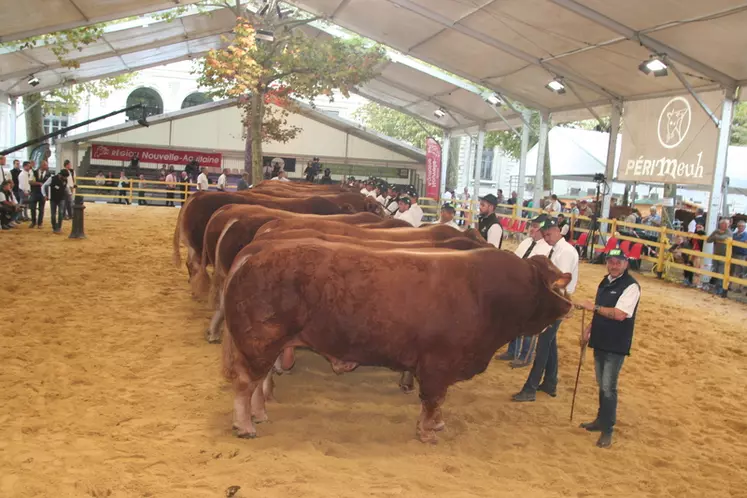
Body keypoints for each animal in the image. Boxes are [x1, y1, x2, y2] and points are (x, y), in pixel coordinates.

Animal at [222, 241, 572, 444]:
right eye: (555, 280)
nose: (569, 304)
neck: (486, 295)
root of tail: (254, 256)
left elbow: (438, 402)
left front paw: (437, 425)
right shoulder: (437, 364)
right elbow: (433, 400)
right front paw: (428, 432)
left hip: (268, 346)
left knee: (259, 382)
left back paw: (259, 415)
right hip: (259, 342)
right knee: (245, 384)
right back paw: (245, 425)